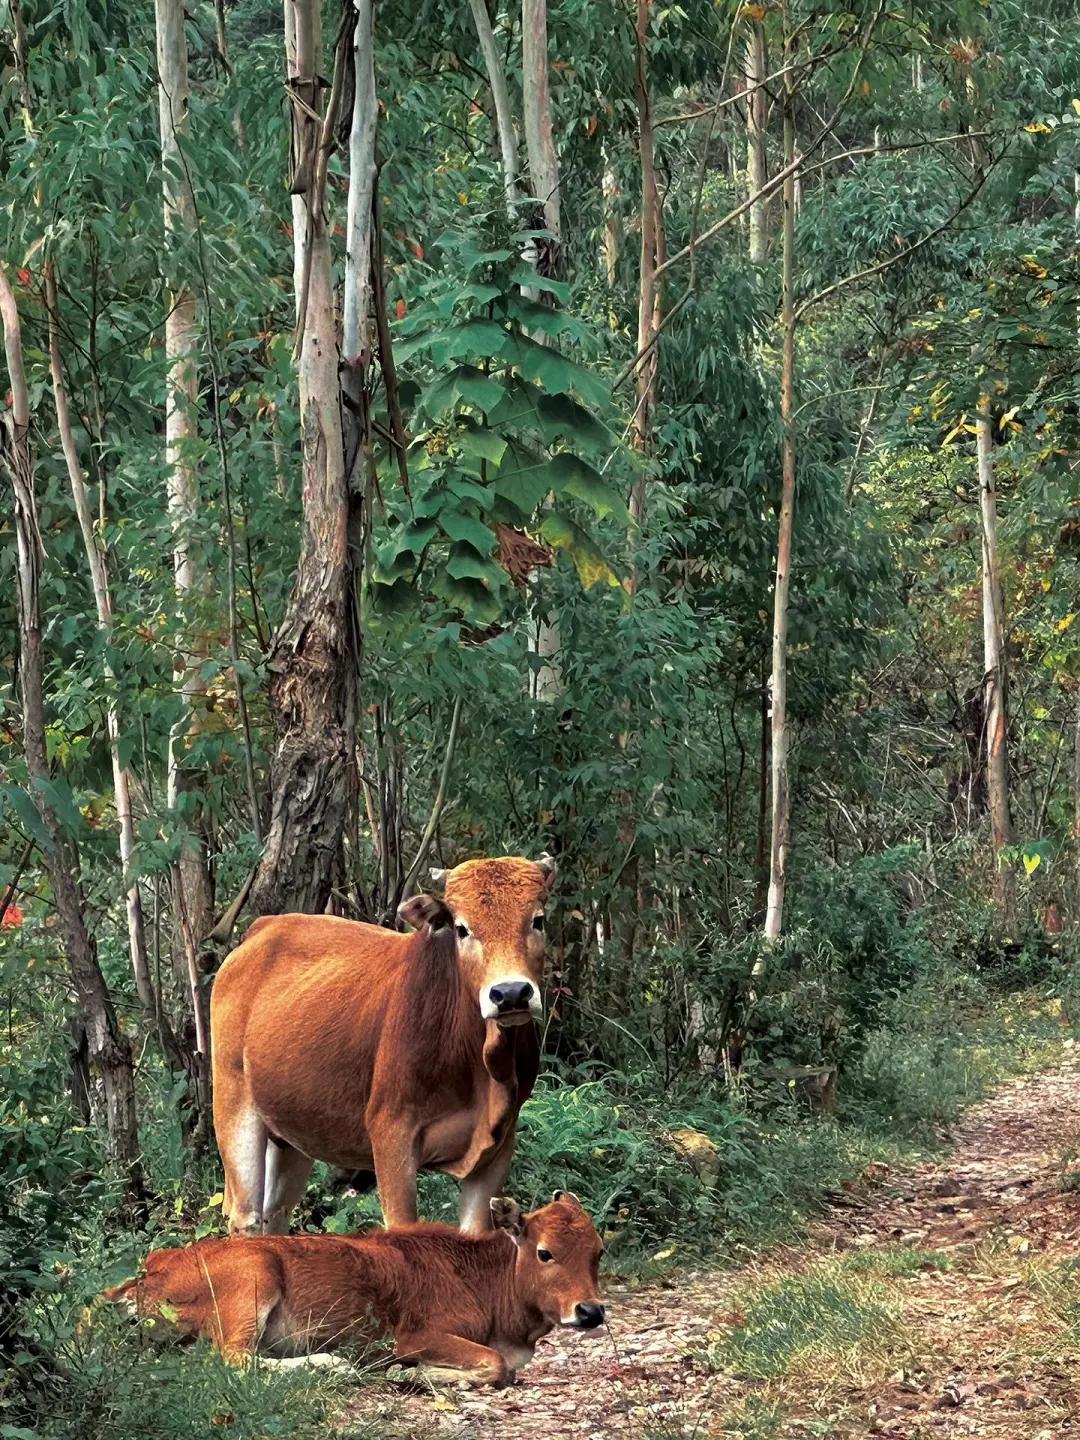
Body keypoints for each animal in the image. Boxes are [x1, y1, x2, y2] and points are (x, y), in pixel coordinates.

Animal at [103, 1192, 610, 1382]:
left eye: (599, 1251)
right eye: (544, 1252)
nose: (591, 1311)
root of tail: (146, 1272)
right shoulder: (415, 1336)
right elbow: (495, 1365)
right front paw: (409, 1374)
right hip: (253, 1276)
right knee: (234, 1360)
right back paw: (333, 1364)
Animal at [208, 852, 558, 1238]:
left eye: (538, 920)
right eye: (462, 928)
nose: (510, 993)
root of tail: (262, 928)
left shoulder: (497, 1151)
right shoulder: (392, 1138)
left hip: (292, 1133)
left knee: (276, 1214)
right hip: (234, 1106)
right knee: (247, 1217)